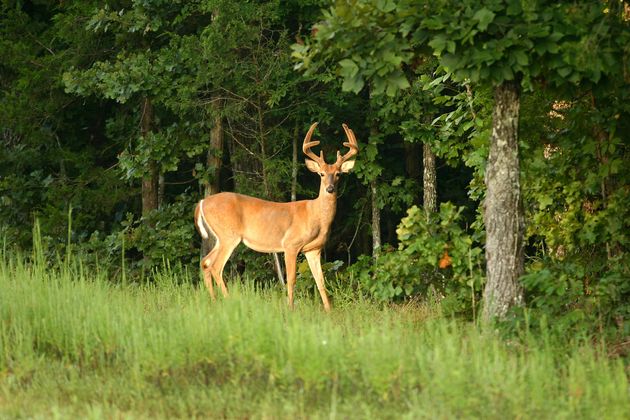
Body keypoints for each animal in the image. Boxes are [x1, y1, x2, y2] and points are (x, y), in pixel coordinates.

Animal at [195, 122, 358, 312]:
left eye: (338, 174)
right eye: (321, 174)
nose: (330, 189)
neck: (316, 215)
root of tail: (202, 202)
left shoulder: (313, 249)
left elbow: (320, 281)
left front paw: (329, 311)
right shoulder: (290, 244)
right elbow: (291, 280)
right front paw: (290, 308)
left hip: (221, 237)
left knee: (205, 262)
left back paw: (214, 302)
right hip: (229, 235)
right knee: (215, 266)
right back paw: (227, 301)